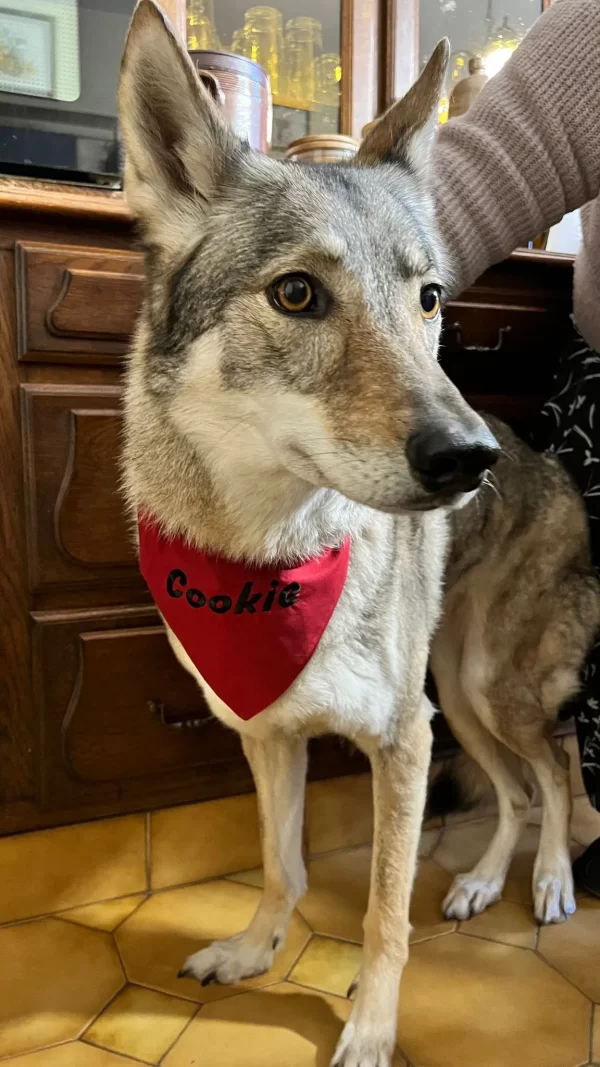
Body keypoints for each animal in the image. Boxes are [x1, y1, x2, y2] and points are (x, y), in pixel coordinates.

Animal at [119, 4, 497, 1062]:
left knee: (552, 786)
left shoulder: (405, 738)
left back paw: (512, 881)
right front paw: (254, 952)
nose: (470, 458)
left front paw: (370, 1027)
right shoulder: (267, 730)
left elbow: (382, 911)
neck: (272, 559)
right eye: (296, 294)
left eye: (429, 300)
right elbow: (279, 863)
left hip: (474, 695)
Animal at [429, 413, 597, 926]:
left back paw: (553, 878)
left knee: (556, 770)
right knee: (519, 794)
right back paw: (484, 881)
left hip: (485, 682)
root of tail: (548, 462)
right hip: (456, 696)